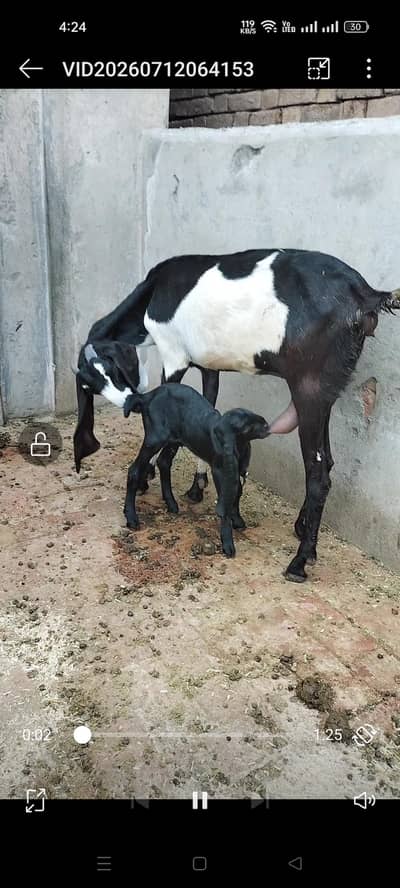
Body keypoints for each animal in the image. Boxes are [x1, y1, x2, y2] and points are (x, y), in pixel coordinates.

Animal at [122, 382, 270, 556]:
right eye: (246, 426)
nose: (266, 424)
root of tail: (147, 396)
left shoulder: (236, 468)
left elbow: (237, 491)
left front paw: (238, 520)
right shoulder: (220, 469)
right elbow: (226, 498)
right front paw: (228, 543)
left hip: (174, 440)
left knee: (163, 462)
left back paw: (171, 503)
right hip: (155, 438)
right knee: (134, 470)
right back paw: (132, 517)